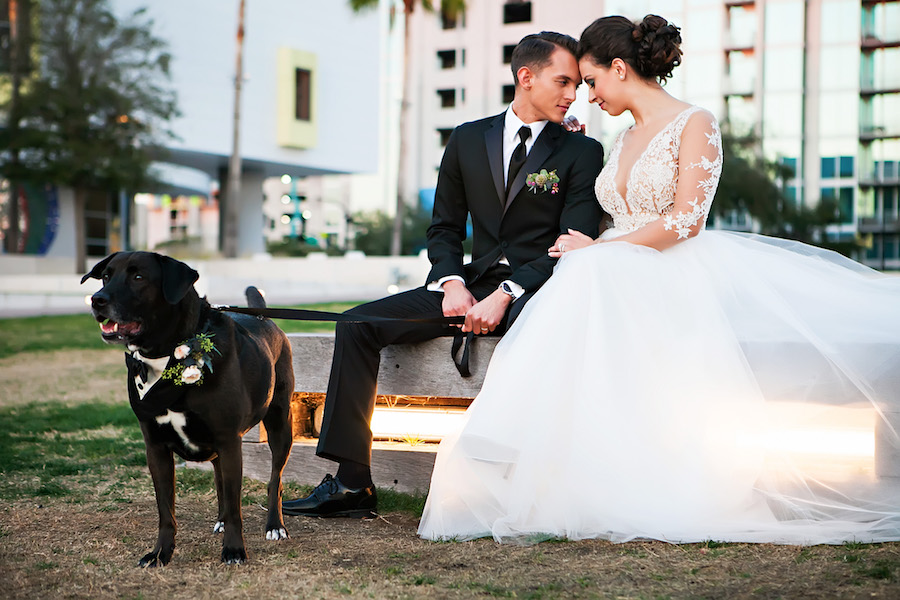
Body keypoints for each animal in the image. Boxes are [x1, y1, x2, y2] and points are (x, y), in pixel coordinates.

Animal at [82, 251, 294, 564]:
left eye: (138, 277)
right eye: (106, 276)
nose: (97, 299)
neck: (166, 356)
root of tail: (265, 317)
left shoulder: (229, 440)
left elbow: (236, 507)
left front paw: (234, 551)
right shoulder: (156, 448)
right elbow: (166, 511)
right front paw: (160, 553)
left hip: (280, 424)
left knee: (274, 479)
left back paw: (274, 526)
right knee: (220, 480)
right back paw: (220, 520)